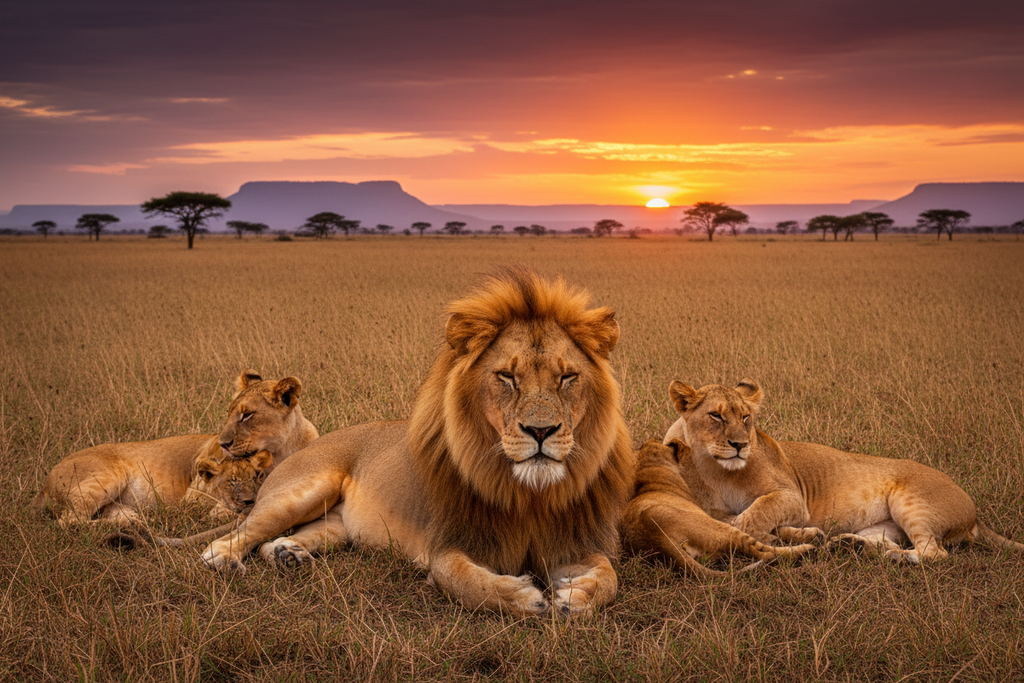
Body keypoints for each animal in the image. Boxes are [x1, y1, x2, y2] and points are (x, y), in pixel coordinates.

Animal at [33, 371, 319, 526]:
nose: (223, 444)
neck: (280, 452)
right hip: (105, 479)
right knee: (69, 522)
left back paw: (137, 523)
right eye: (228, 412)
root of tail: (45, 482)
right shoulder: (192, 493)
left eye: (247, 415)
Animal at [200, 268, 635, 616]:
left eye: (567, 377)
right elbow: (466, 582)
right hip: (301, 492)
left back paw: (289, 555)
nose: (541, 431)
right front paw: (526, 597)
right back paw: (222, 559)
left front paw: (576, 596)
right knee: (241, 533)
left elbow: (609, 577)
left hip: (336, 525)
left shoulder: (573, 542)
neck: (530, 496)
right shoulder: (449, 544)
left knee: (276, 540)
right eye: (507, 377)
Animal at [621, 439, 816, 577]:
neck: (649, 477)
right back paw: (808, 547)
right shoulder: (717, 515)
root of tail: (660, 540)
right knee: (762, 550)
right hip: (719, 529)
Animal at [664, 379, 1024, 562]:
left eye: (745, 417)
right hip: (885, 525)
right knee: (896, 543)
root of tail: (975, 513)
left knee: (935, 553)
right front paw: (799, 536)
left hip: (912, 503)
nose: (740, 444)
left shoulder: (793, 496)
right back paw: (854, 546)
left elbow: (752, 516)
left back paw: (890, 558)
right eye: (716, 416)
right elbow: (735, 520)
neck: (715, 469)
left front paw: (778, 536)